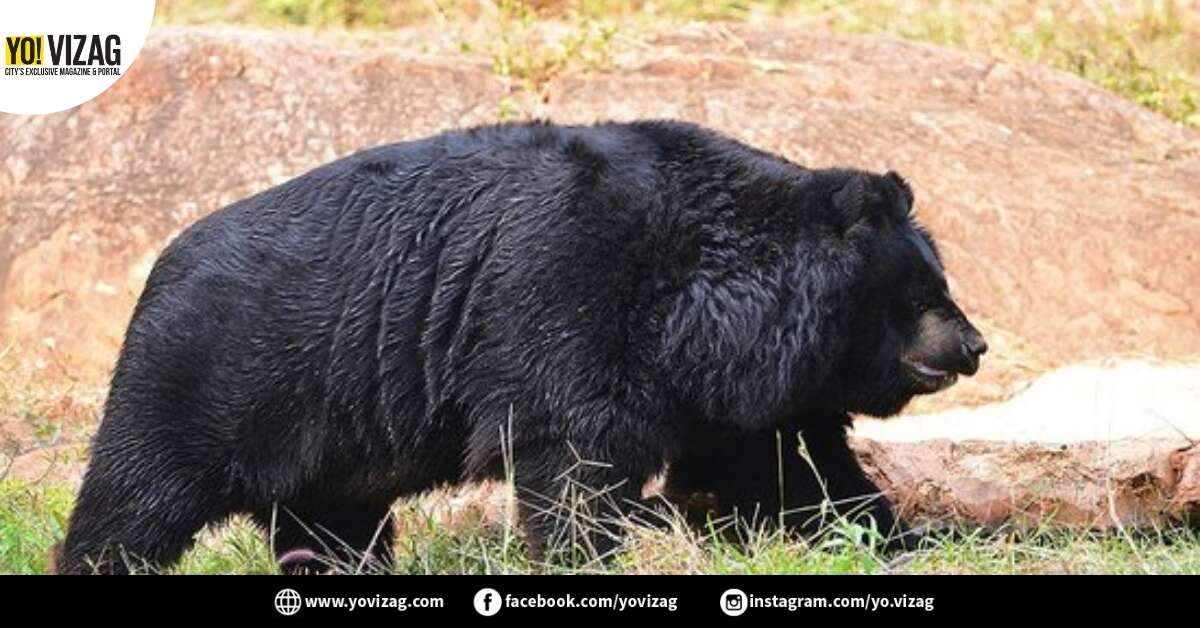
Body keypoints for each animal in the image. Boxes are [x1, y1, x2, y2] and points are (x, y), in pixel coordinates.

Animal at [56, 120, 986, 574]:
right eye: (921, 297)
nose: (974, 346)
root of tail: (161, 267)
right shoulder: (568, 294)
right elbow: (573, 453)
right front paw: (589, 559)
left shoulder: (742, 386)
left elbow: (789, 466)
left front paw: (900, 540)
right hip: (214, 373)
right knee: (137, 496)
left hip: (329, 431)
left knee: (331, 523)